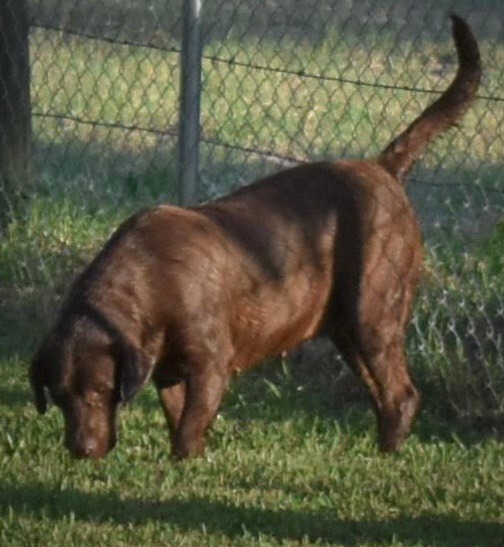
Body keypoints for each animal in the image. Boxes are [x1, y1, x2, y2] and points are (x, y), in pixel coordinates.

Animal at [30, 16, 480, 458]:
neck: (147, 282)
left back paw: (387, 454)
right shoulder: (169, 373)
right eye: (59, 397)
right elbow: (180, 422)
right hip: (346, 331)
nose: (83, 450)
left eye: (102, 390)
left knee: (402, 394)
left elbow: (188, 430)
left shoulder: (212, 365)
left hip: (373, 315)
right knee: (383, 393)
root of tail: (383, 169)